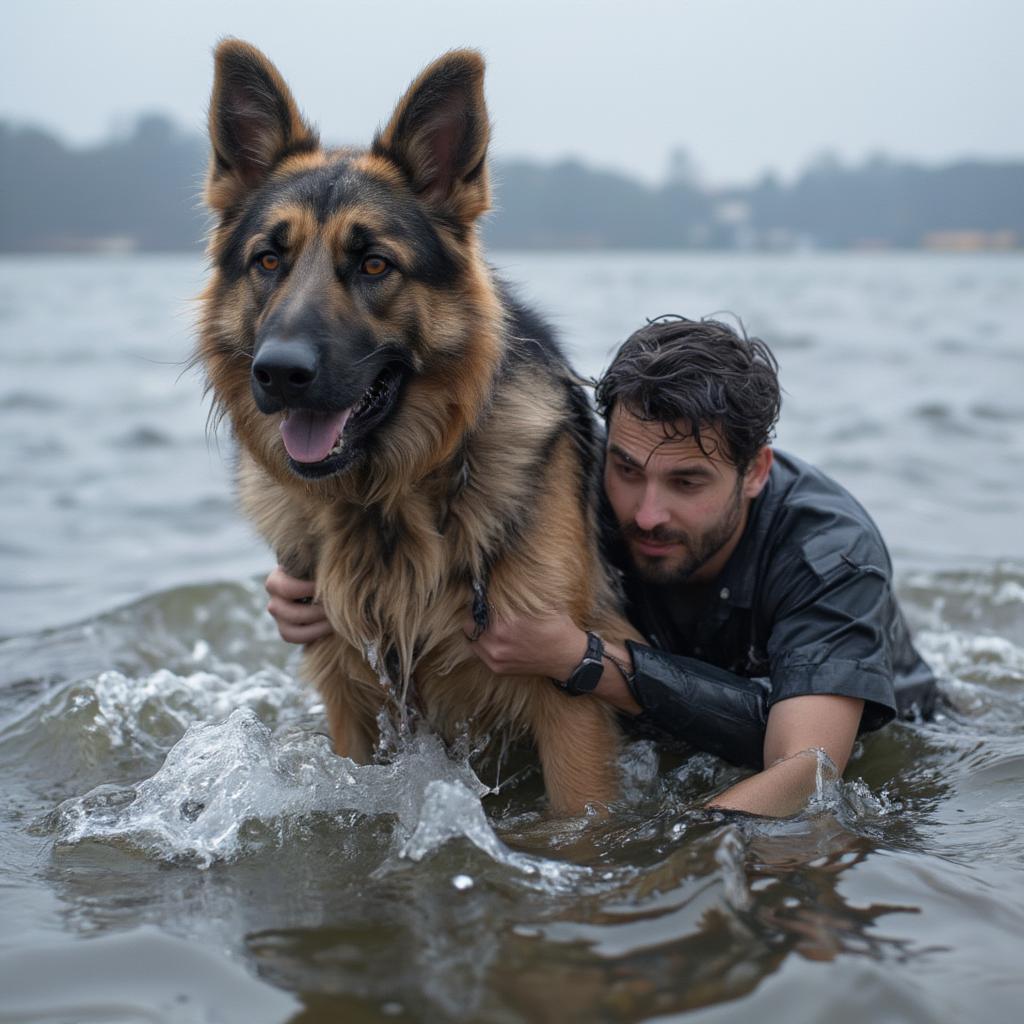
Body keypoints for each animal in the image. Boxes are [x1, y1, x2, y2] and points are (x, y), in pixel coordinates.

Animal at [195, 39, 634, 811]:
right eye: (268, 260)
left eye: (374, 264)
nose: (278, 373)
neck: (383, 503)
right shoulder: (349, 695)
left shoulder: (571, 707)